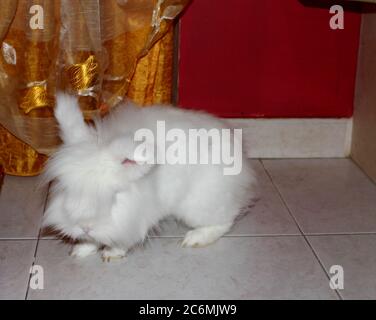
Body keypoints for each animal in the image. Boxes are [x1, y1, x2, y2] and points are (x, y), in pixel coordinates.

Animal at [43, 94, 256, 262]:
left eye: (115, 196)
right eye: (67, 190)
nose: (85, 227)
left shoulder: (135, 218)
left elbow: (124, 237)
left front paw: (111, 253)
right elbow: (96, 240)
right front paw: (80, 250)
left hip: (200, 205)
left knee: (224, 221)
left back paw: (194, 238)